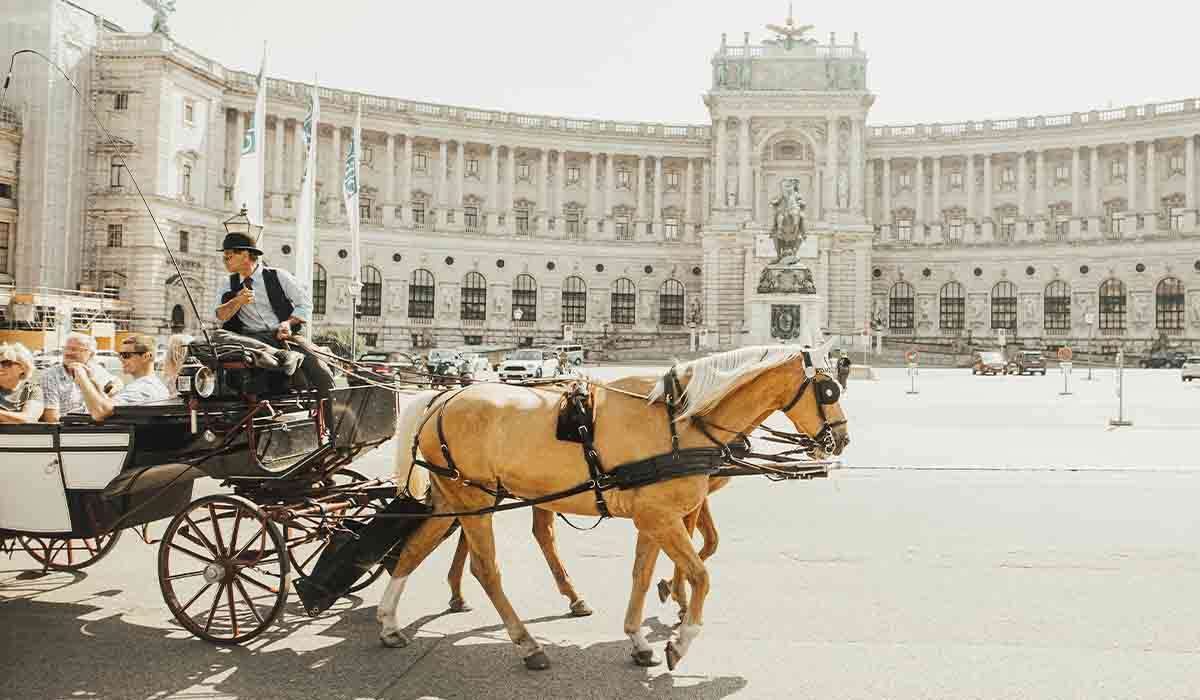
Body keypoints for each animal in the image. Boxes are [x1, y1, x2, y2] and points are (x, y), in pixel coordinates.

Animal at [379, 348, 849, 672]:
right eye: (829, 389)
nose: (842, 440)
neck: (680, 423)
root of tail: (443, 396)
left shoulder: (654, 518)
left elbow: (643, 574)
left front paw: (640, 638)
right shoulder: (663, 517)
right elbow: (701, 572)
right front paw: (682, 638)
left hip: (456, 497)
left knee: (415, 548)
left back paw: (389, 623)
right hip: (475, 501)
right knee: (486, 568)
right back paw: (527, 644)